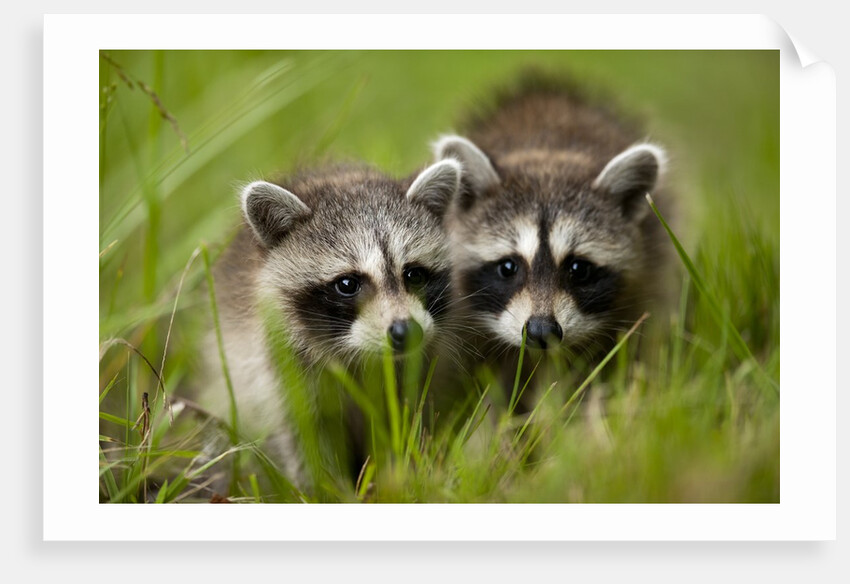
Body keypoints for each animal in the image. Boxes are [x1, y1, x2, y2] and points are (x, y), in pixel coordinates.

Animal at [196, 160, 462, 491]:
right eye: (347, 284)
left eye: (414, 274)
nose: (406, 331)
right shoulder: (278, 369)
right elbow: (305, 437)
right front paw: (325, 489)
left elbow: (413, 418)